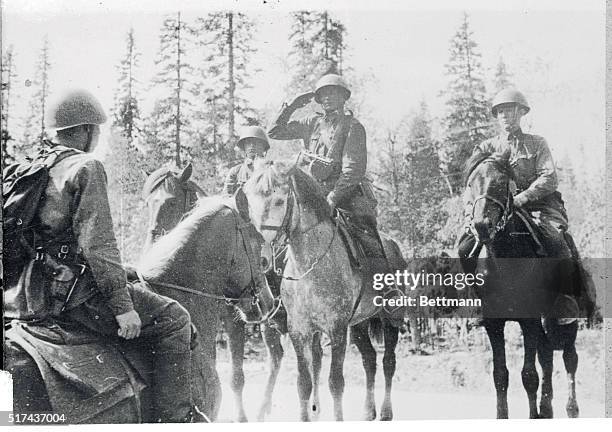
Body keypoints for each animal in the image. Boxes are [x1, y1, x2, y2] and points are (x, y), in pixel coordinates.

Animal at [243, 160, 406, 420]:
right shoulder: (299, 330)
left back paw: (385, 412)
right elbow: (304, 382)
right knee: (369, 359)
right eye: (248, 200)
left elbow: (335, 382)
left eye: (278, 200)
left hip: (390, 319)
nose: (259, 257)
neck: (310, 267)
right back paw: (368, 411)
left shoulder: (337, 329)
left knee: (389, 361)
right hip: (359, 325)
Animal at [464, 152, 580, 418]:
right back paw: (546, 409)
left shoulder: (529, 319)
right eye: (471, 184)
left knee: (570, 357)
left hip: (564, 319)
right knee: (547, 356)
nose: (481, 226)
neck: (504, 259)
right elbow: (500, 375)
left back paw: (571, 408)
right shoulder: (493, 324)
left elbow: (529, 375)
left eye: (500, 183)